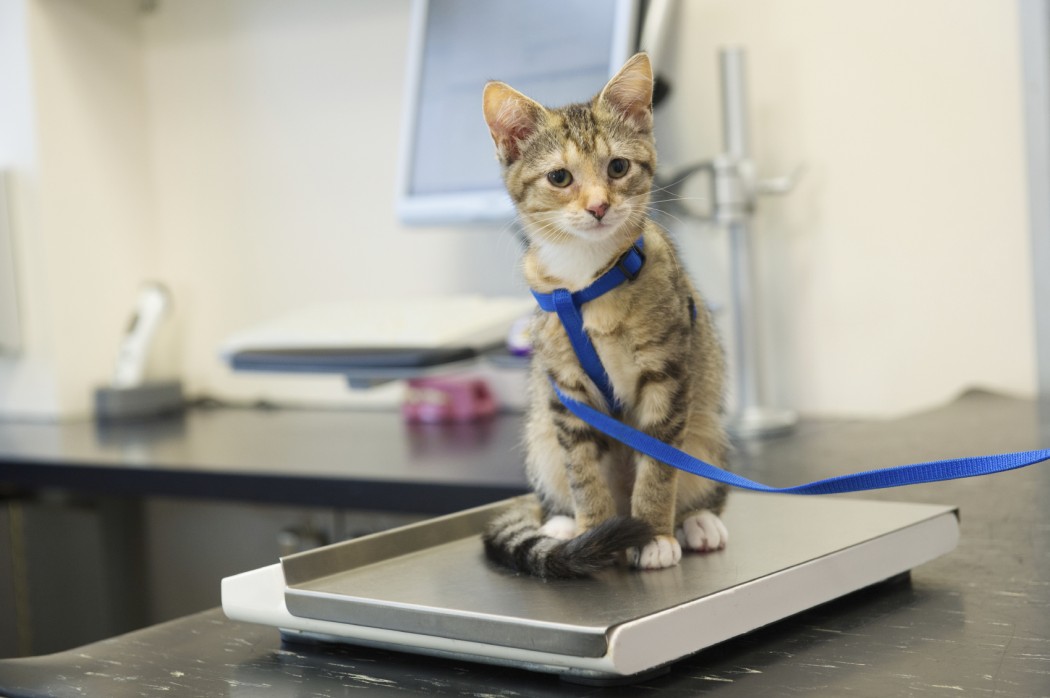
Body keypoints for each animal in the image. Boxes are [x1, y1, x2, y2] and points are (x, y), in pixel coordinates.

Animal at [482, 53, 730, 575]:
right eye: (559, 177)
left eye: (618, 167)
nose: (598, 206)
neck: (588, 278)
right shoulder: (567, 394)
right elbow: (583, 470)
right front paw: (592, 531)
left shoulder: (668, 375)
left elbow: (659, 465)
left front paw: (654, 535)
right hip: (541, 436)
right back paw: (561, 524)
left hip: (707, 428)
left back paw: (698, 521)